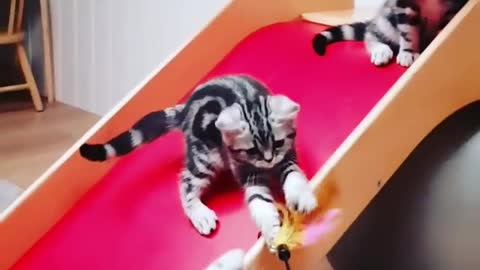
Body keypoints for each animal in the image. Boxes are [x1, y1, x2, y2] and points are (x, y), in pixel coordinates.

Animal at [79, 74, 318, 247]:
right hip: (206, 157)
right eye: (252, 151)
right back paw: (199, 213)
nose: (268, 160)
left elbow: (294, 176)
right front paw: (272, 231)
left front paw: (301, 196)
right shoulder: (247, 173)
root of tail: (186, 108)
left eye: (277, 143)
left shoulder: (287, 157)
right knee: (186, 182)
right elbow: (259, 203)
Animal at [314, 0, 466, 67]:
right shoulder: (404, 6)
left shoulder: (454, 8)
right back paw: (381, 50)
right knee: (370, 33)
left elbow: (445, 29)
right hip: (385, 20)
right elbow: (408, 32)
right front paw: (408, 52)